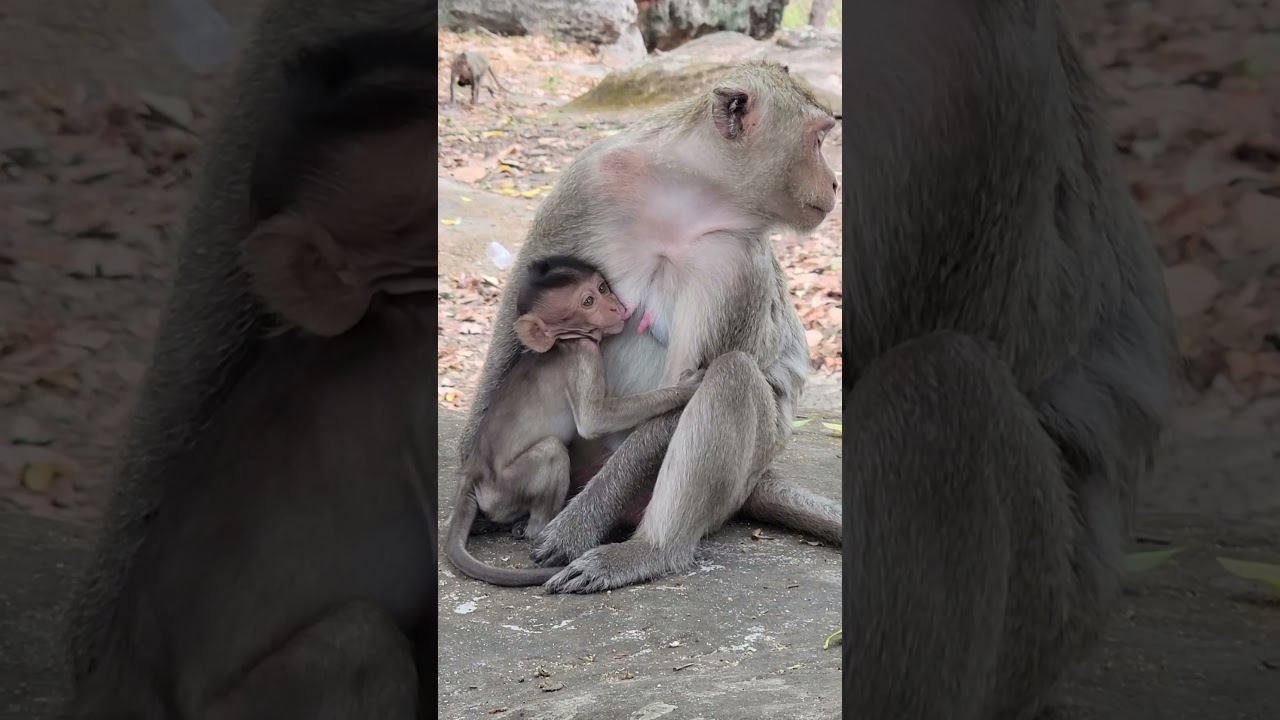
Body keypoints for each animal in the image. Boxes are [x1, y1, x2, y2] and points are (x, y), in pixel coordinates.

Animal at [446, 256, 705, 586]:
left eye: (603, 287)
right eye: (588, 301)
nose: (616, 307)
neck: (566, 340)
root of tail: (471, 472)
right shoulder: (585, 356)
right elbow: (595, 420)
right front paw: (684, 389)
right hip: (505, 488)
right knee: (552, 451)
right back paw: (535, 527)